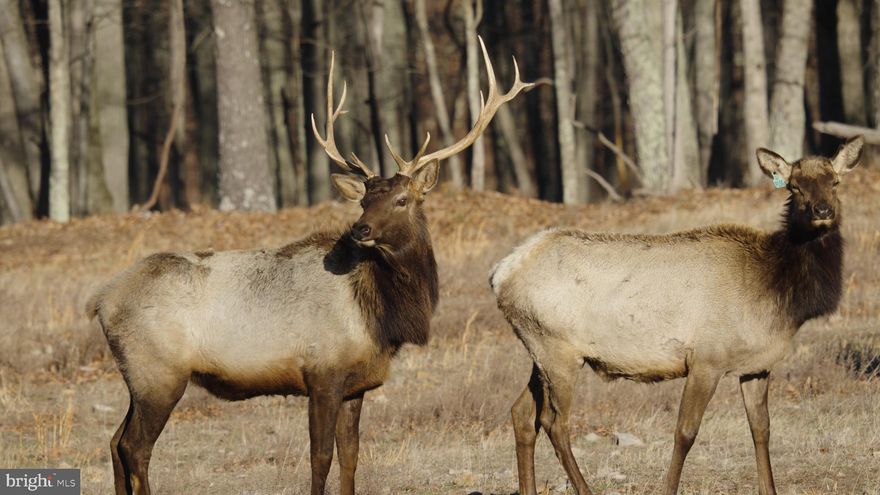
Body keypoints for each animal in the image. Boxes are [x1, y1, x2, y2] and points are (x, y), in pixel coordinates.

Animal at [87, 38, 532, 495]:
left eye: (402, 199)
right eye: (364, 199)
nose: (360, 228)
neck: (378, 315)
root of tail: (101, 300)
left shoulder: (356, 384)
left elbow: (350, 456)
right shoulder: (322, 372)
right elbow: (320, 458)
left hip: (139, 377)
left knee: (114, 441)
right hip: (158, 372)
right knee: (135, 447)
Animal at [490, 137, 864, 495]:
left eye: (835, 182)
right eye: (795, 186)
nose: (823, 210)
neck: (779, 292)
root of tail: (500, 274)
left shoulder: (757, 365)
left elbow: (762, 428)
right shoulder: (707, 360)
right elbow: (685, 432)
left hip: (541, 354)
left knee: (522, 414)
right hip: (558, 353)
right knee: (555, 423)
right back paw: (584, 488)